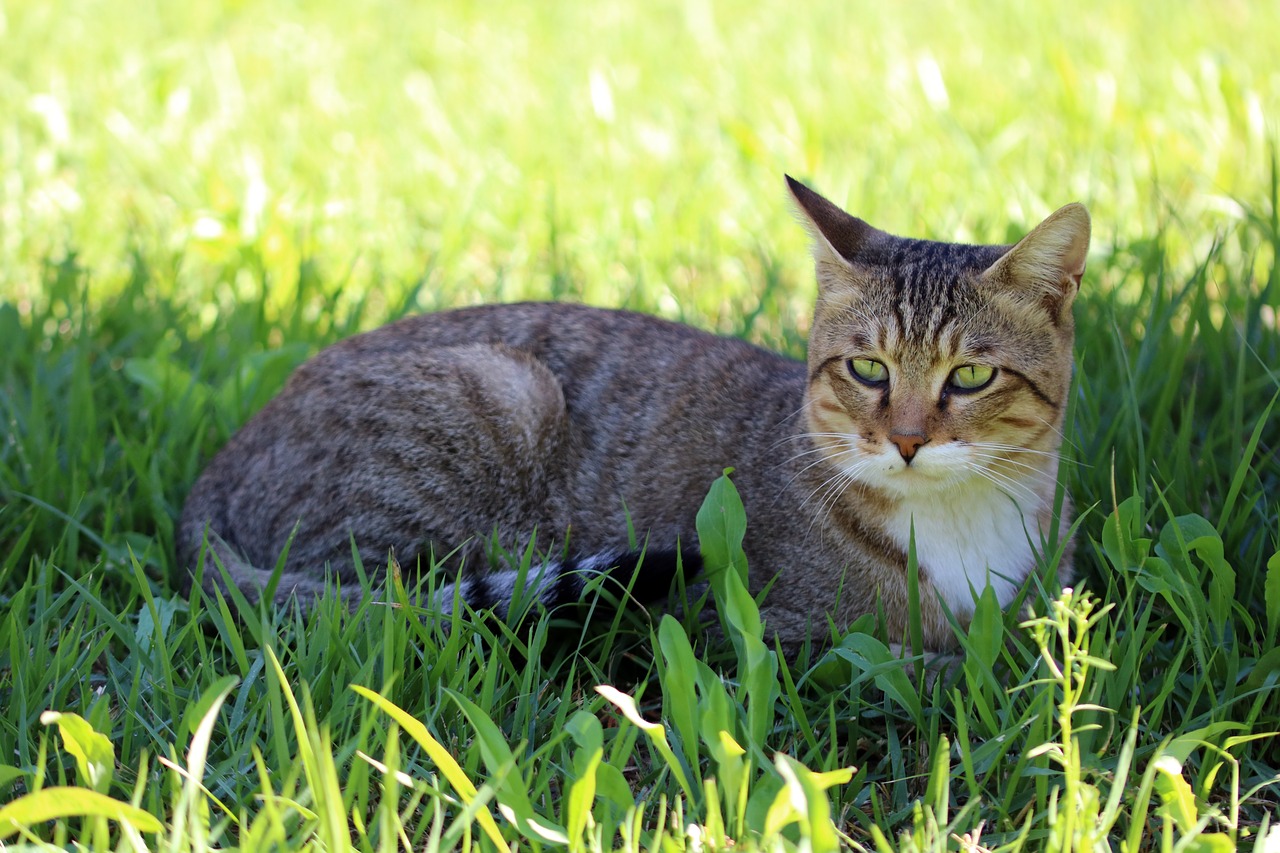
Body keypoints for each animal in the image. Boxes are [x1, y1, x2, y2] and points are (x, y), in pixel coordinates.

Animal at [175, 172, 1085, 650]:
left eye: (970, 376)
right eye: (868, 368)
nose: (904, 440)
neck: (957, 521)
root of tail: (221, 458)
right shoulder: (757, 626)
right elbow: (929, 660)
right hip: (501, 394)